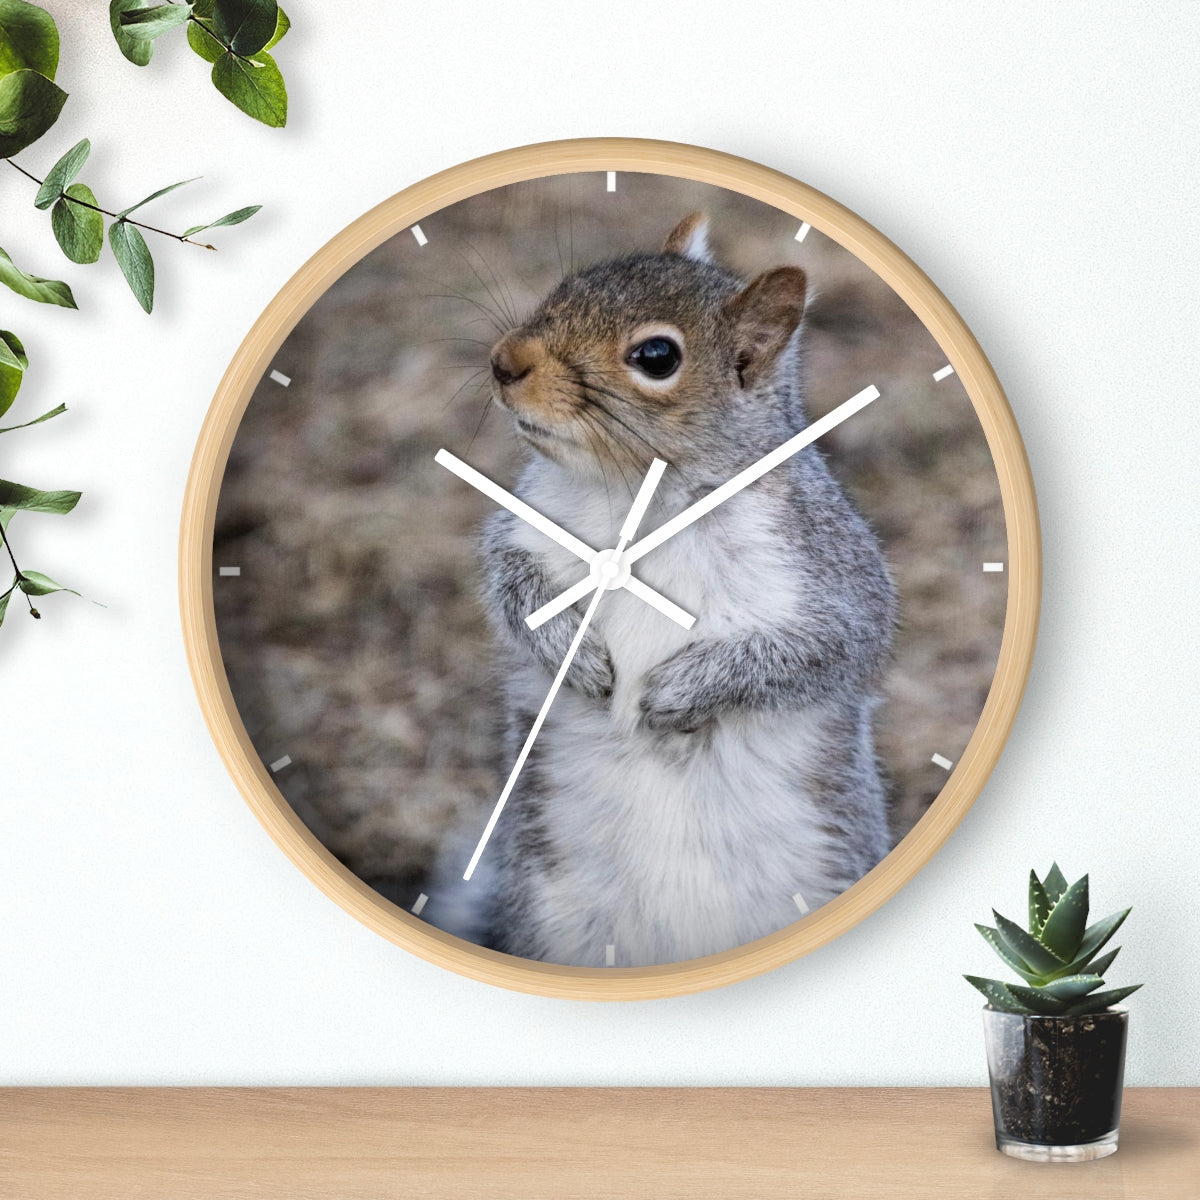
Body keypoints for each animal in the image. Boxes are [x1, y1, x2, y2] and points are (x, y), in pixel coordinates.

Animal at [444, 212, 897, 968]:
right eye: (568, 285)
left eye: (656, 357)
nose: (505, 363)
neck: (641, 493)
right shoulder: (527, 526)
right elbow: (510, 584)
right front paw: (574, 652)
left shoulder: (829, 571)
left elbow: (822, 650)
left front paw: (679, 692)